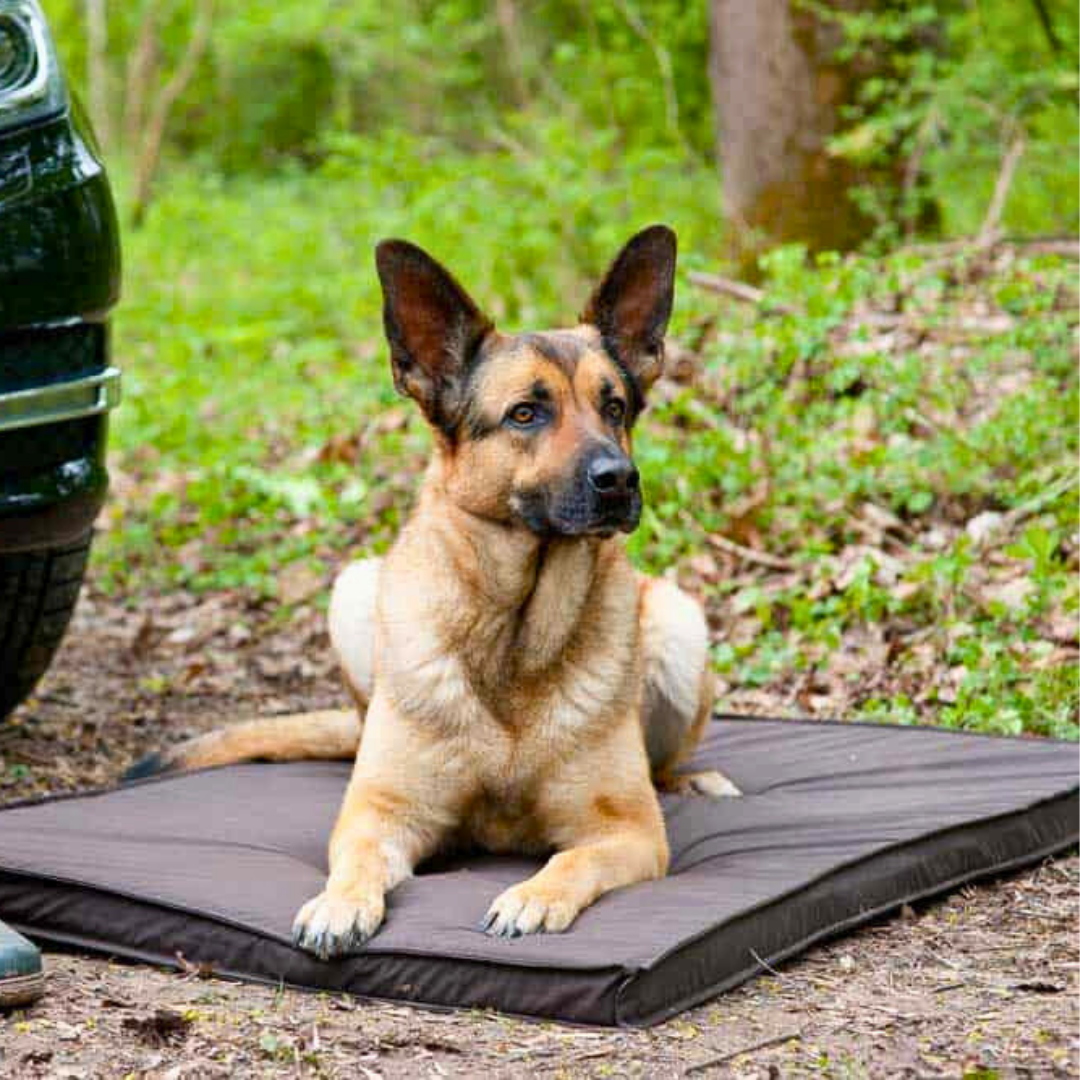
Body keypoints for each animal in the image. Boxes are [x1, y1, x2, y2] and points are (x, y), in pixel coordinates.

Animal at [126, 225, 734, 954]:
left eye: (613, 407)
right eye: (526, 414)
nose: (620, 479)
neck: (513, 633)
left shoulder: (629, 832)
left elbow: (569, 860)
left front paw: (532, 897)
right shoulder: (381, 815)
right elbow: (357, 861)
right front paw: (338, 903)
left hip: (679, 620)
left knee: (665, 762)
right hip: (352, 592)